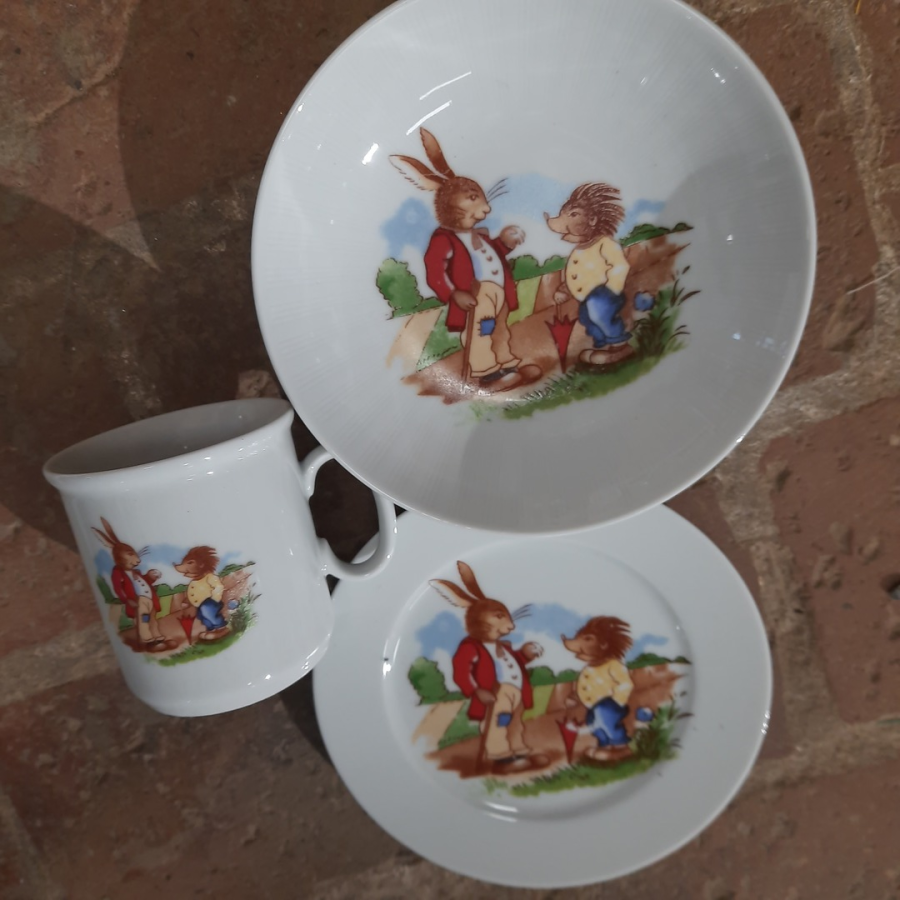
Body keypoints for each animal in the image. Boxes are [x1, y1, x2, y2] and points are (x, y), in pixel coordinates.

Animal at [92, 517, 168, 650]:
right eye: (129, 553)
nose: (139, 561)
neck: (128, 570)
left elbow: (147, 579)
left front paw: (154, 573)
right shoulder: (117, 577)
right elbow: (118, 587)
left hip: (153, 608)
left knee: (152, 621)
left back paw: (159, 638)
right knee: (144, 620)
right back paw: (149, 641)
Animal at [390, 129, 541, 392]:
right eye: (472, 196)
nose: (487, 210)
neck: (465, 232)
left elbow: (498, 247)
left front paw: (510, 235)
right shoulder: (440, 245)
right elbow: (435, 270)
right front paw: (461, 297)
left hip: (502, 306)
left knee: (500, 331)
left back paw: (514, 369)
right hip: (482, 309)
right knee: (483, 332)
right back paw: (496, 379)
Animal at [429, 560, 548, 775]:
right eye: (499, 615)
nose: (512, 627)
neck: (490, 642)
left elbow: (518, 657)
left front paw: (531, 649)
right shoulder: (467, 651)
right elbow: (462, 669)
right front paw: (484, 694)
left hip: (519, 705)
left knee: (515, 725)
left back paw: (525, 756)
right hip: (500, 705)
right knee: (500, 724)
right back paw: (509, 763)